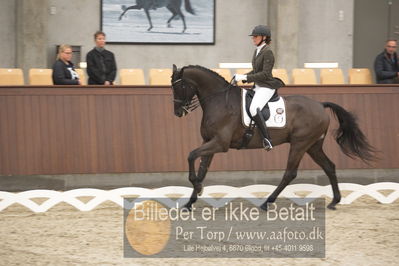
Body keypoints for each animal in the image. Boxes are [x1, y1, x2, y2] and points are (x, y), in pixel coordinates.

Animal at [172, 64, 378, 210]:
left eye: (180, 85)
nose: (177, 112)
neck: (219, 101)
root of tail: (320, 105)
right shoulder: (209, 142)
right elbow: (202, 169)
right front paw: (191, 201)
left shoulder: (219, 144)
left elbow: (191, 156)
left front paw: (197, 188)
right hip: (313, 146)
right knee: (329, 166)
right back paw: (335, 201)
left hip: (300, 144)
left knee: (290, 173)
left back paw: (267, 203)